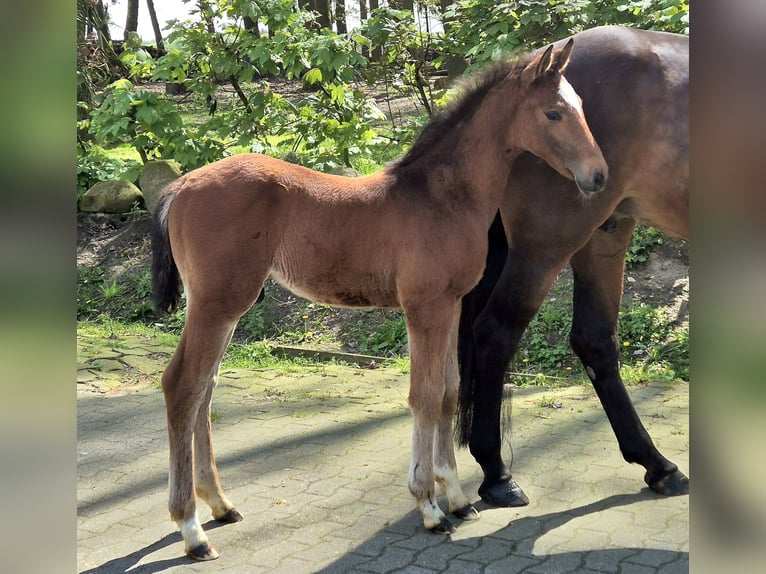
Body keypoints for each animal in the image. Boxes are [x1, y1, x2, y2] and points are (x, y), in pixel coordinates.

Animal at [148, 40, 608, 564]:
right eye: (553, 112)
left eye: (580, 106)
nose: (599, 176)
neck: (442, 197)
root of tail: (179, 186)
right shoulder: (424, 308)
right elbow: (424, 396)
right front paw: (429, 506)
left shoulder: (450, 306)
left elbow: (449, 392)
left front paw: (456, 497)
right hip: (218, 302)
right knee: (182, 385)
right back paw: (191, 530)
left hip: (222, 307)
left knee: (204, 389)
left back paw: (220, 505)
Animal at [456, 25, 688, 508]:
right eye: (556, 114)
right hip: (548, 244)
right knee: (496, 331)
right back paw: (497, 474)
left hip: (603, 233)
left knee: (594, 340)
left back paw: (657, 465)